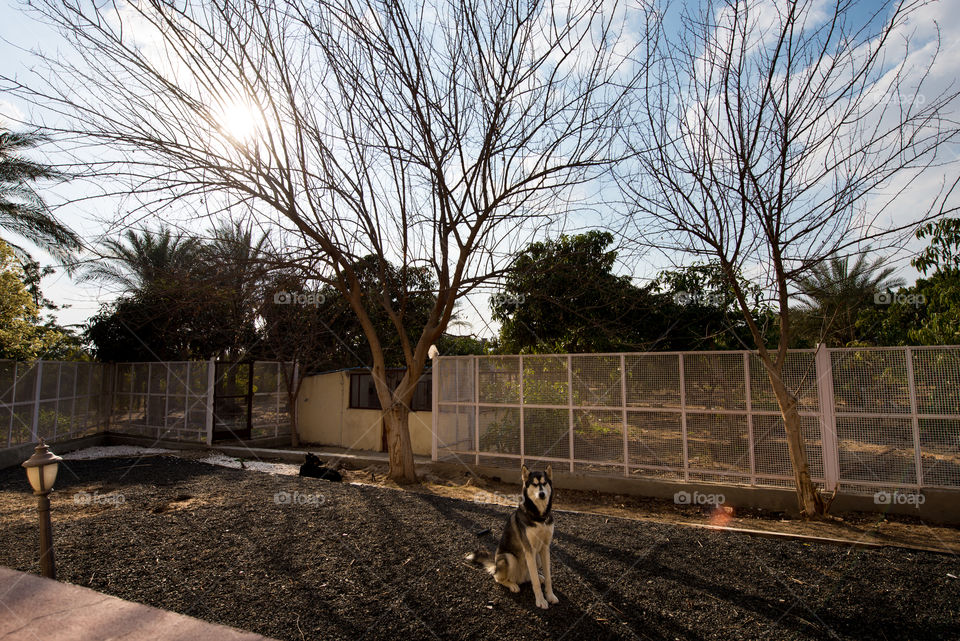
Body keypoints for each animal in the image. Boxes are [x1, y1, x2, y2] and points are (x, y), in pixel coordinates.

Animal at [466, 462, 560, 608]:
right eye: (534, 484)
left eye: (544, 483)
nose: (542, 494)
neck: (539, 517)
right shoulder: (529, 550)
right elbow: (535, 583)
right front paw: (540, 601)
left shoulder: (545, 548)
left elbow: (548, 578)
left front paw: (550, 596)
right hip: (508, 558)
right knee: (498, 578)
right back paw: (512, 585)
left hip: (537, 559)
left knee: (531, 575)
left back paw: (538, 577)